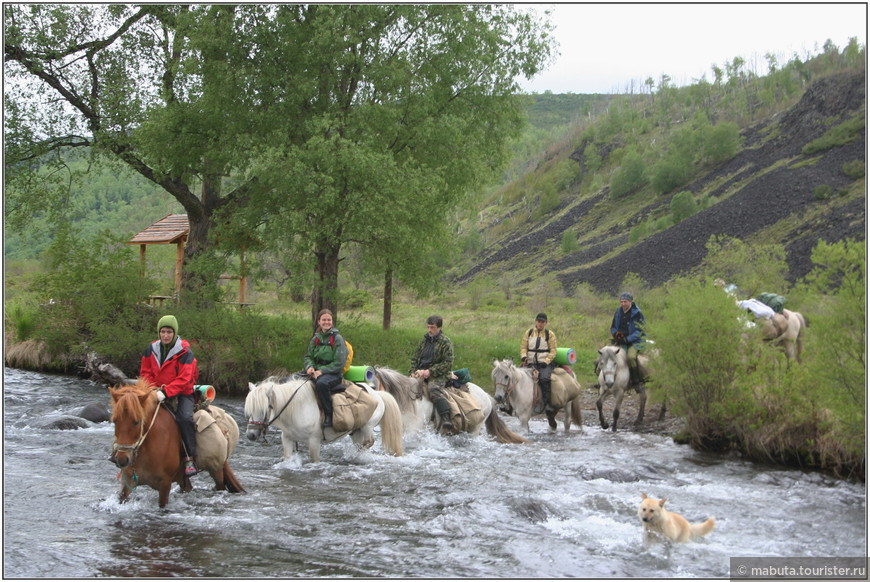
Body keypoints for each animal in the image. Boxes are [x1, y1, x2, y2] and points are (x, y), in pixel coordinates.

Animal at [110, 380, 245, 508]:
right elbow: (122, 497)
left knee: (220, 485)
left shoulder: (165, 483)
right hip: (183, 477)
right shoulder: (128, 480)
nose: (122, 460)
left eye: (137, 422)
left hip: (216, 470)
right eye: (115, 420)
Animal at [245, 376, 406, 468]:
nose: (251, 435)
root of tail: (377, 393)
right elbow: (288, 457)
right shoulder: (287, 439)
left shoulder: (314, 440)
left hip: (367, 426)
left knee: (368, 442)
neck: (296, 408)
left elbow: (314, 459)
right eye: (249, 409)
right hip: (356, 431)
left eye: (264, 409)